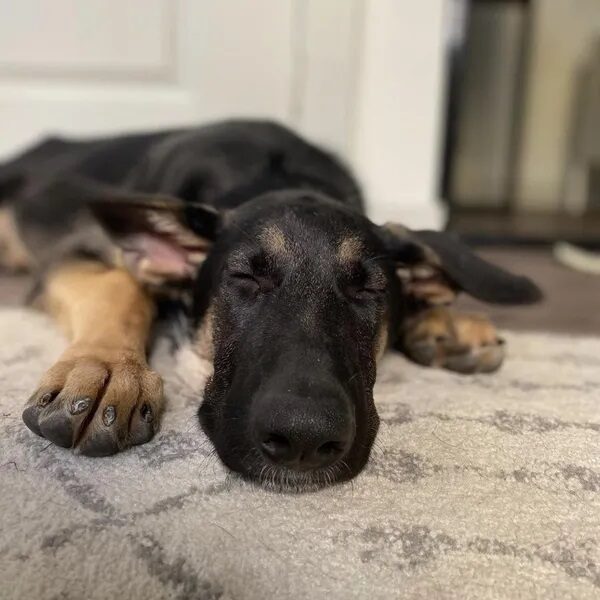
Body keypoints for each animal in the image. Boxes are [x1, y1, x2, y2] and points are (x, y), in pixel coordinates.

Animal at [0, 120, 540, 492]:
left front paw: (445, 322)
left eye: (369, 290)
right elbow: (123, 289)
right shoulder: (77, 255)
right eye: (244, 277)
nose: (303, 440)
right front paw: (108, 369)